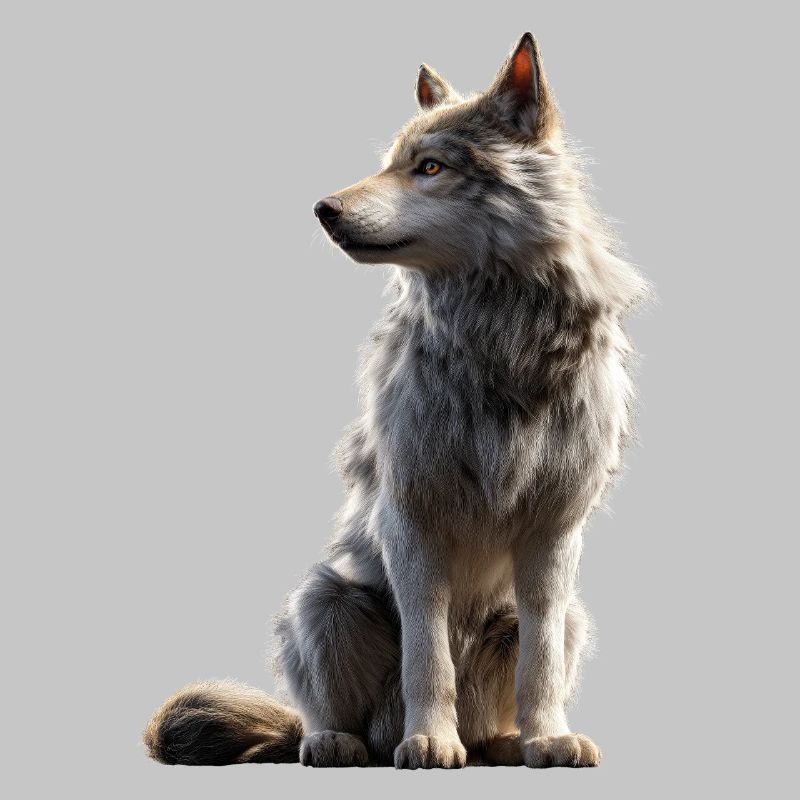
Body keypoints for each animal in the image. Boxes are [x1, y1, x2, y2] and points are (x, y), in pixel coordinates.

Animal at [144, 33, 646, 769]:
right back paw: (342, 742)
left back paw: (502, 743)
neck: (499, 342)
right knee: (323, 714)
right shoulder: (410, 519)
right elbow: (427, 653)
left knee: (511, 692)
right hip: (325, 599)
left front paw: (549, 739)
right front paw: (430, 741)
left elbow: (541, 662)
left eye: (429, 167)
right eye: (390, 164)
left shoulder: (554, 533)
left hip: (568, 615)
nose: (323, 210)